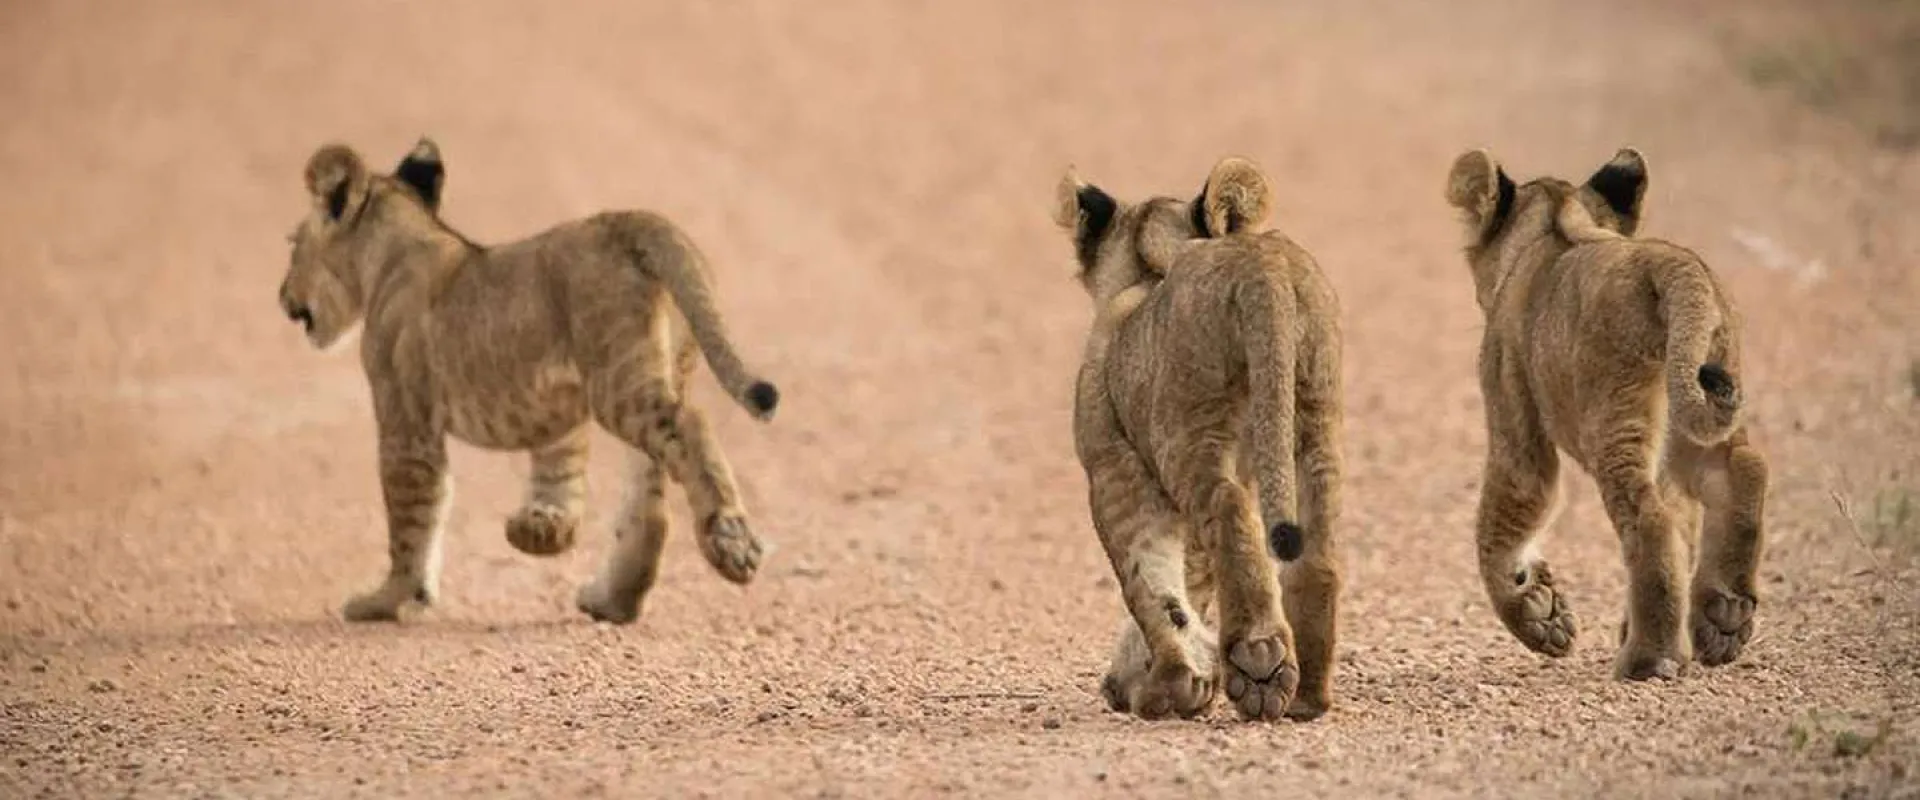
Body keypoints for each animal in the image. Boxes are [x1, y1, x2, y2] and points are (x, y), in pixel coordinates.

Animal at [277, 137, 781, 625]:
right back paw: (613, 601)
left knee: (691, 425)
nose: (281, 296)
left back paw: (731, 545)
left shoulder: (406, 418)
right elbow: (548, 475)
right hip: (656, 372)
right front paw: (540, 531)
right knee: (652, 499)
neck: (393, 252)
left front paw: (386, 600)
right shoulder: (556, 402)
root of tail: (630, 221)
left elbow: (411, 517)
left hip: (618, 381)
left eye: (292, 243)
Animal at [1051, 156, 1345, 721]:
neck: (1149, 270)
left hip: (1186, 431)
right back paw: (1307, 695)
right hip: (1314, 417)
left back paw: (1258, 662)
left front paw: (1168, 685)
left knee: (1228, 509)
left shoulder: (1113, 468)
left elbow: (1152, 583)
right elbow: (1194, 578)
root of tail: (1259, 264)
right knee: (1317, 551)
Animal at [1443, 147, 1769, 680]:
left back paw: (1649, 658)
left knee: (1650, 520)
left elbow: (1501, 523)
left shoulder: (1514, 415)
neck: (1553, 229)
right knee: (1741, 471)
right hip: (1695, 407)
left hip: (1614, 418)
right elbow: (1686, 526)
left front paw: (1536, 613)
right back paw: (1722, 616)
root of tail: (1670, 263)